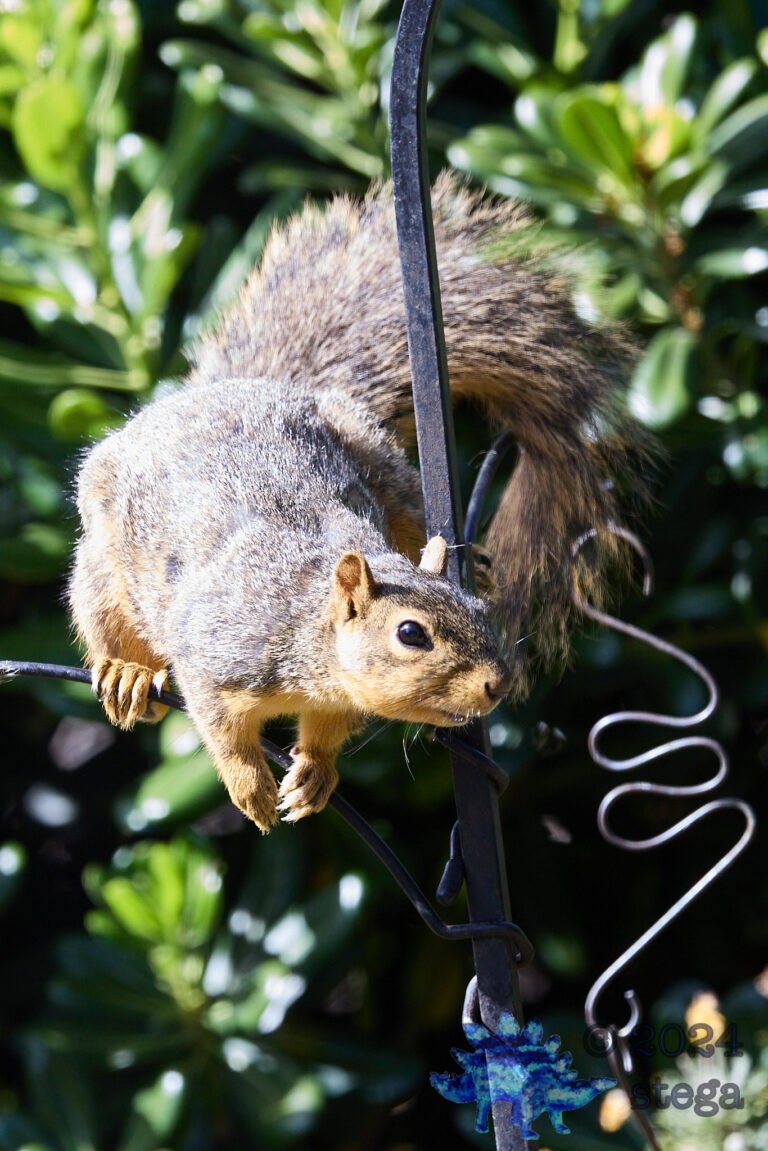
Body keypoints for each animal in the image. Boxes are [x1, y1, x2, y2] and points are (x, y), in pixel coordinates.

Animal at [68, 172, 644, 832]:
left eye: (476, 613)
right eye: (410, 634)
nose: (496, 686)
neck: (309, 641)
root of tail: (210, 394)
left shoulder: (338, 696)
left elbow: (326, 731)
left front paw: (315, 774)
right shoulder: (217, 653)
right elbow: (221, 731)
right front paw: (252, 790)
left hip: (380, 463)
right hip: (104, 563)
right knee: (104, 616)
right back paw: (127, 672)